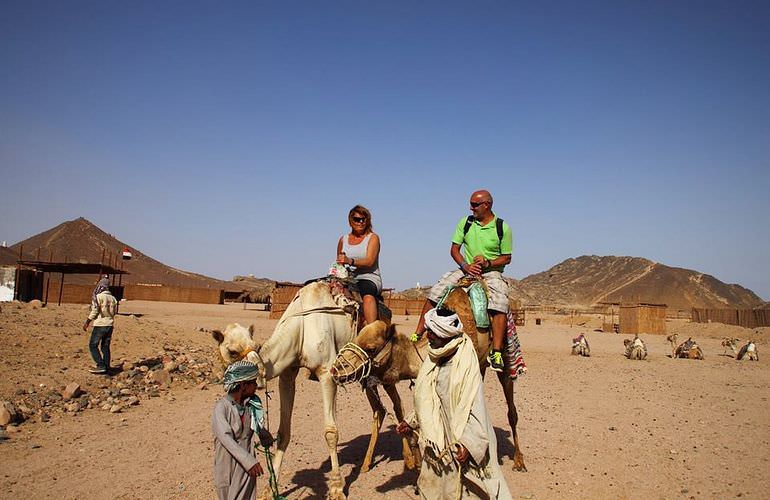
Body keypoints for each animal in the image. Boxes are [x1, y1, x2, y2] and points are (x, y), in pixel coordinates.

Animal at [328, 284, 524, 474]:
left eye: (371, 348)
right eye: (355, 338)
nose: (336, 369)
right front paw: (416, 464)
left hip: (503, 357)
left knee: (511, 410)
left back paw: (518, 461)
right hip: (480, 367)